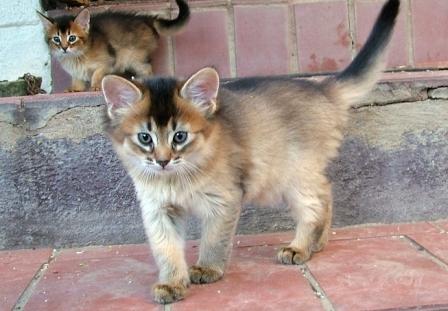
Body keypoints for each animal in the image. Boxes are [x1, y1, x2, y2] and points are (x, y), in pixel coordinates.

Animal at [37, 0, 190, 92]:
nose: (64, 48)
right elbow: (77, 80)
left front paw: (96, 86)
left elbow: (97, 73)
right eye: (56, 39)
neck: (77, 57)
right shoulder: (76, 73)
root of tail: (146, 18)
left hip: (135, 58)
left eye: (72, 38)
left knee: (148, 69)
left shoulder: (108, 61)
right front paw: (75, 89)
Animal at [101, 0, 400, 306]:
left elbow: (214, 240)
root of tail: (320, 88)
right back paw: (319, 242)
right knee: (326, 191)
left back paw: (299, 248)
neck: (177, 178)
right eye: (145, 138)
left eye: (180, 137)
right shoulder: (158, 209)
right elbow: (166, 249)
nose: (162, 161)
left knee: (315, 204)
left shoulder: (224, 200)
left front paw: (208, 268)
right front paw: (172, 283)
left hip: (292, 176)